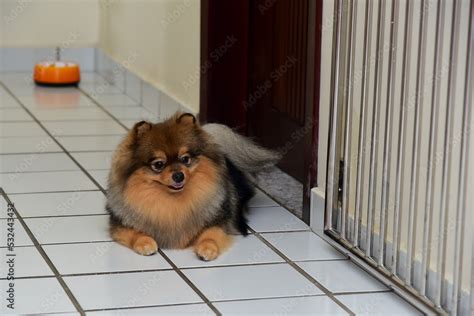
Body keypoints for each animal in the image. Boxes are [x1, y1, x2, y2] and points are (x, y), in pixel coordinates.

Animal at [105, 112, 280, 260]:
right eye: (159, 164)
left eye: (185, 159)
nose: (178, 175)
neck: (172, 201)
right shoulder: (119, 224)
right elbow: (134, 232)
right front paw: (145, 242)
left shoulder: (219, 220)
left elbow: (211, 233)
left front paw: (207, 248)